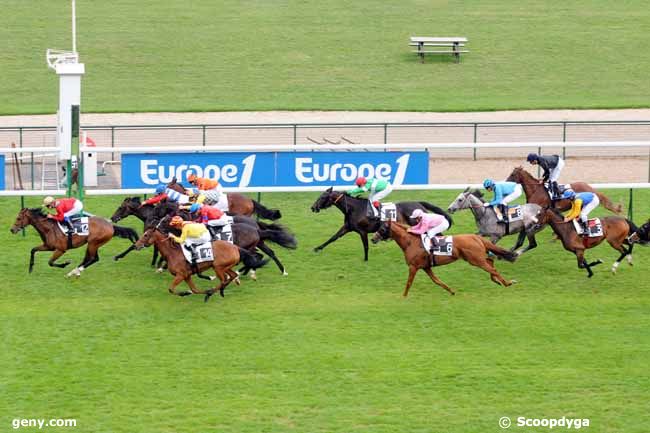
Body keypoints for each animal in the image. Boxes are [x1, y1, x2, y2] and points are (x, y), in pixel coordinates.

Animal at [9, 207, 139, 276]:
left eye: (18, 218)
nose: (12, 230)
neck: (49, 228)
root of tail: (110, 225)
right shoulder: (48, 246)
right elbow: (33, 250)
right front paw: (30, 268)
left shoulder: (61, 249)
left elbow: (50, 262)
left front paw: (65, 263)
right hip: (93, 244)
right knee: (90, 258)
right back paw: (74, 272)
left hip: (93, 243)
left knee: (93, 259)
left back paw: (76, 271)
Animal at [135, 223, 268, 300]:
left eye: (146, 235)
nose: (136, 245)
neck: (172, 253)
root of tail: (236, 247)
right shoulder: (187, 275)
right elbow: (194, 290)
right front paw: (190, 292)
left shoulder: (181, 275)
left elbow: (171, 289)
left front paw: (185, 293)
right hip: (226, 266)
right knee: (232, 276)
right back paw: (220, 290)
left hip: (218, 267)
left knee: (224, 279)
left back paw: (212, 292)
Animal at [308, 186, 450, 260]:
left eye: (322, 197)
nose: (313, 207)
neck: (355, 209)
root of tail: (419, 203)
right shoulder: (347, 227)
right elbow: (333, 238)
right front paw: (317, 248)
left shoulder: (362, 231)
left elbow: (365, 245)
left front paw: (365, 260)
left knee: (437, 233)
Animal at [370, 221, 516, 296]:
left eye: (382, 228)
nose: (373, 239)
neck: (410, 242)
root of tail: (476, 237)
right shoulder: (426, 267)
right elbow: (437, 281)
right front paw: (452, 291)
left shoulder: (413, 267)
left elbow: (409, 283)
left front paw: (403, 297)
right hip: (476, 257)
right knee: (491, 262)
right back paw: (497, 281)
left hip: (475, 259)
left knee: (492, 268)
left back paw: (507, 282)